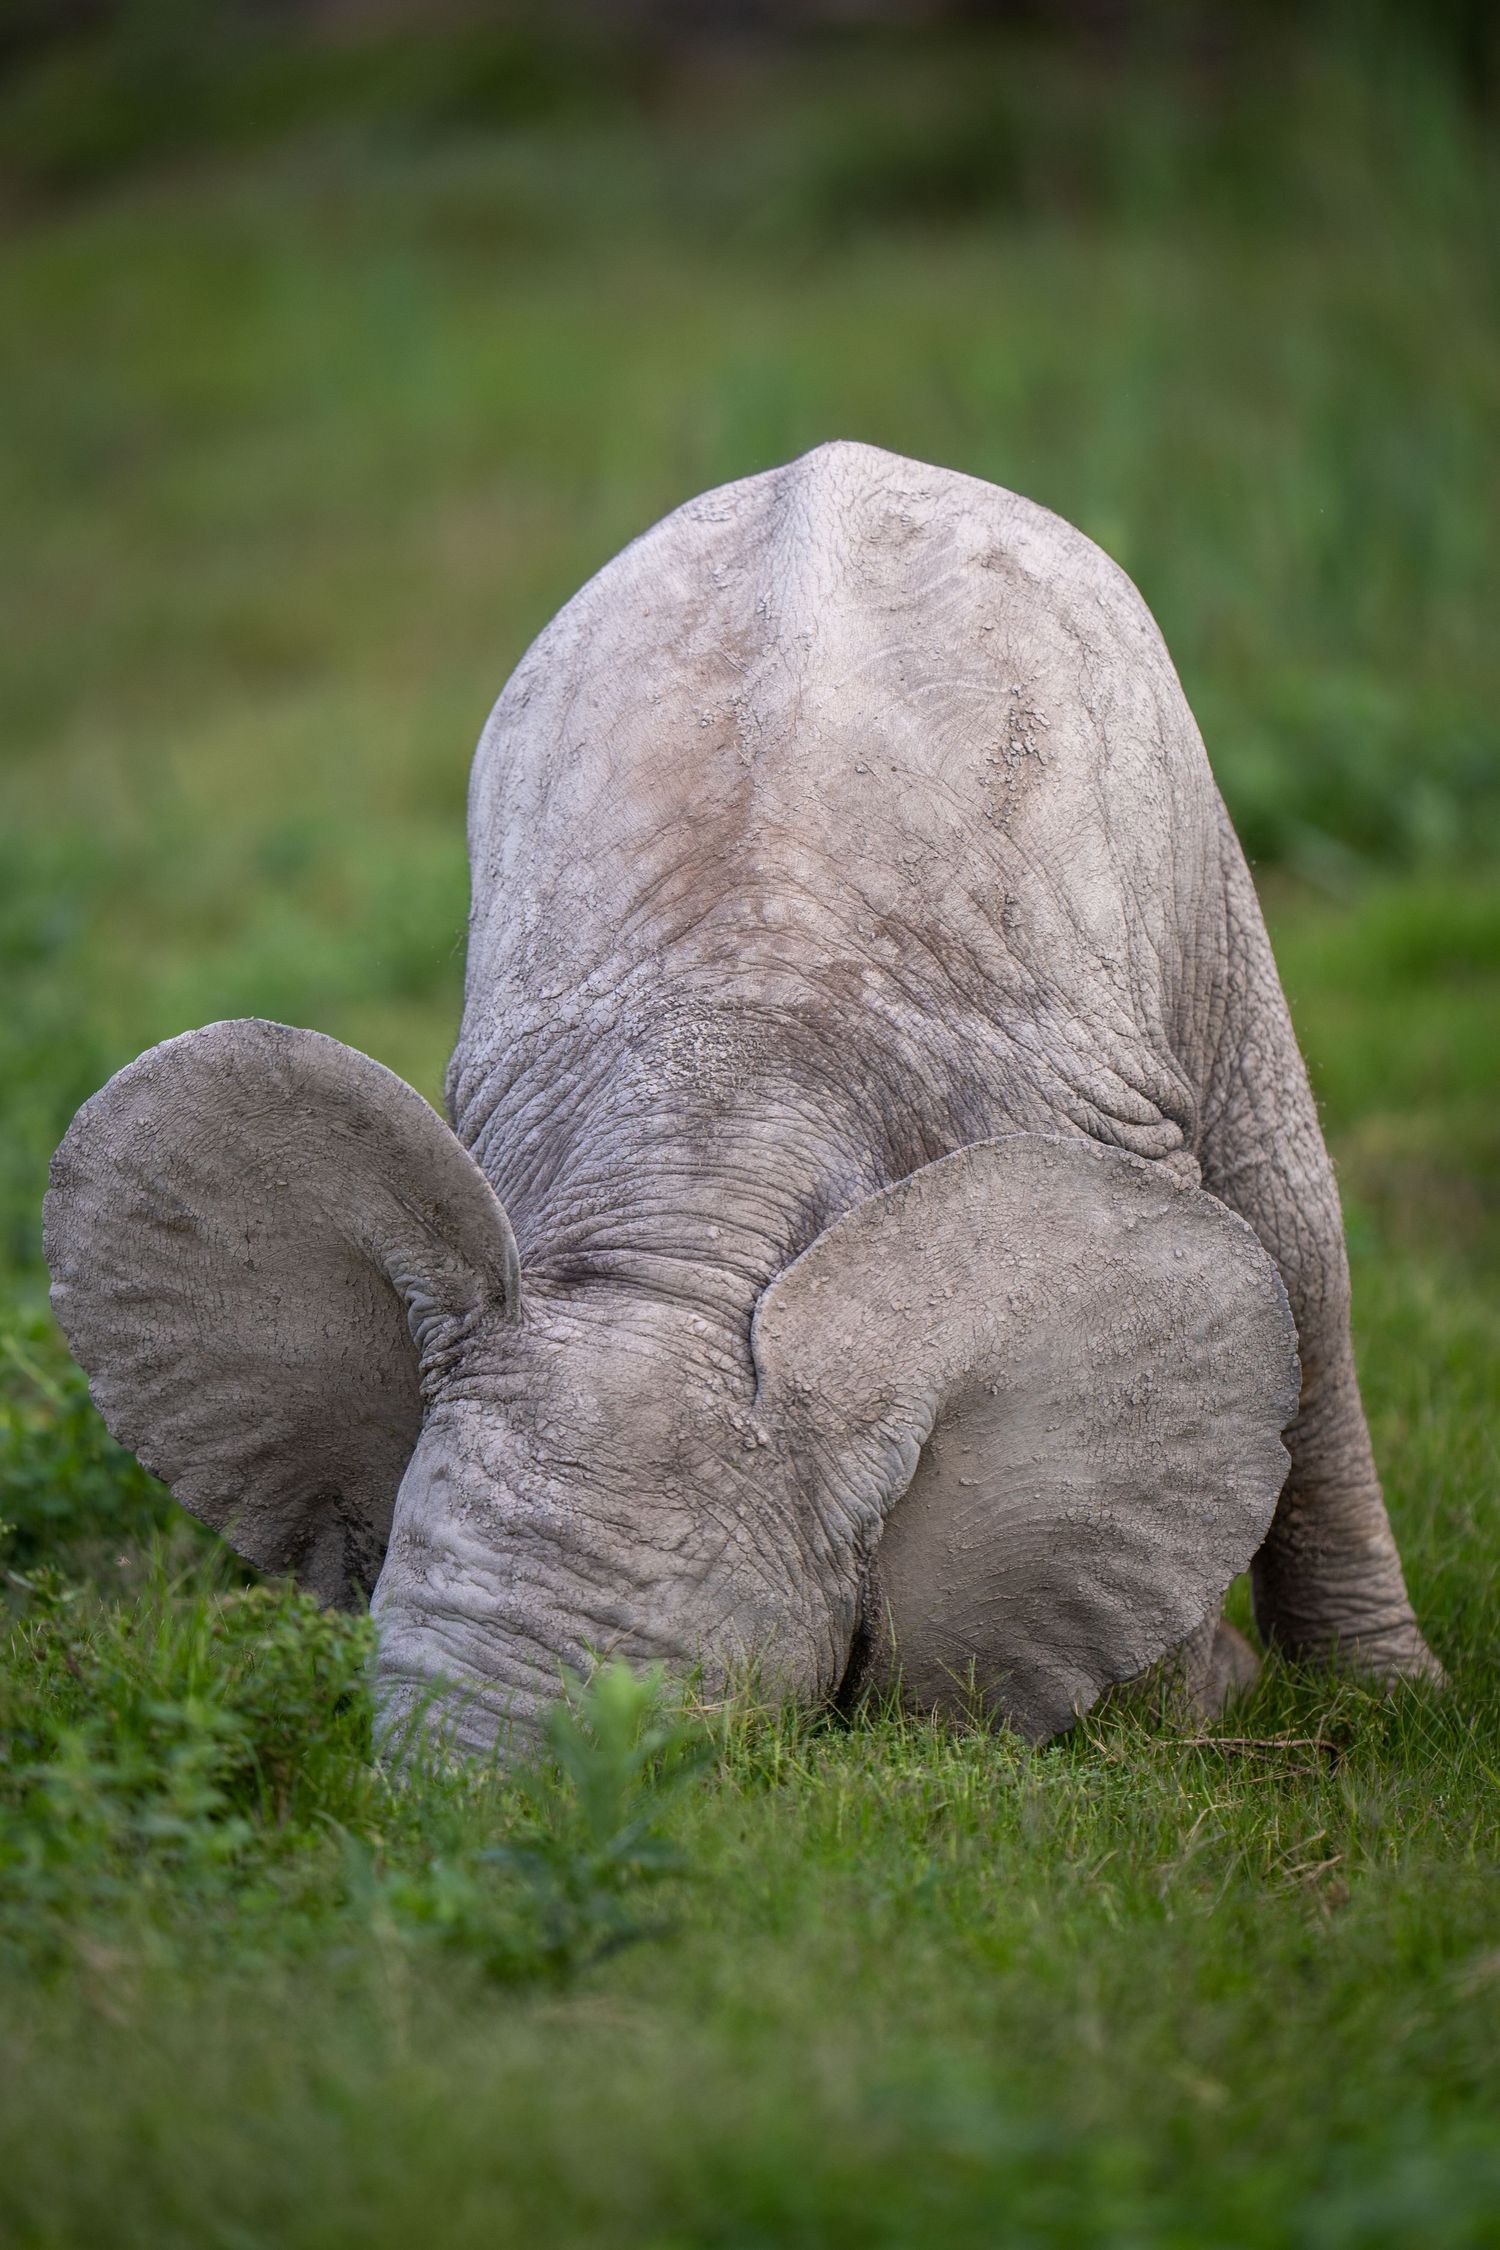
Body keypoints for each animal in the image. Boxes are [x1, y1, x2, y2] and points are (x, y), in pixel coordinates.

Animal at [44, 441, 1440, 1757]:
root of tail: (851, 455)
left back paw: (1388, 1699)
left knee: (1300, 1252)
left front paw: (1195, 1709)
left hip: (1196, 854)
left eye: (701, 1764)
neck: (689, 1227)